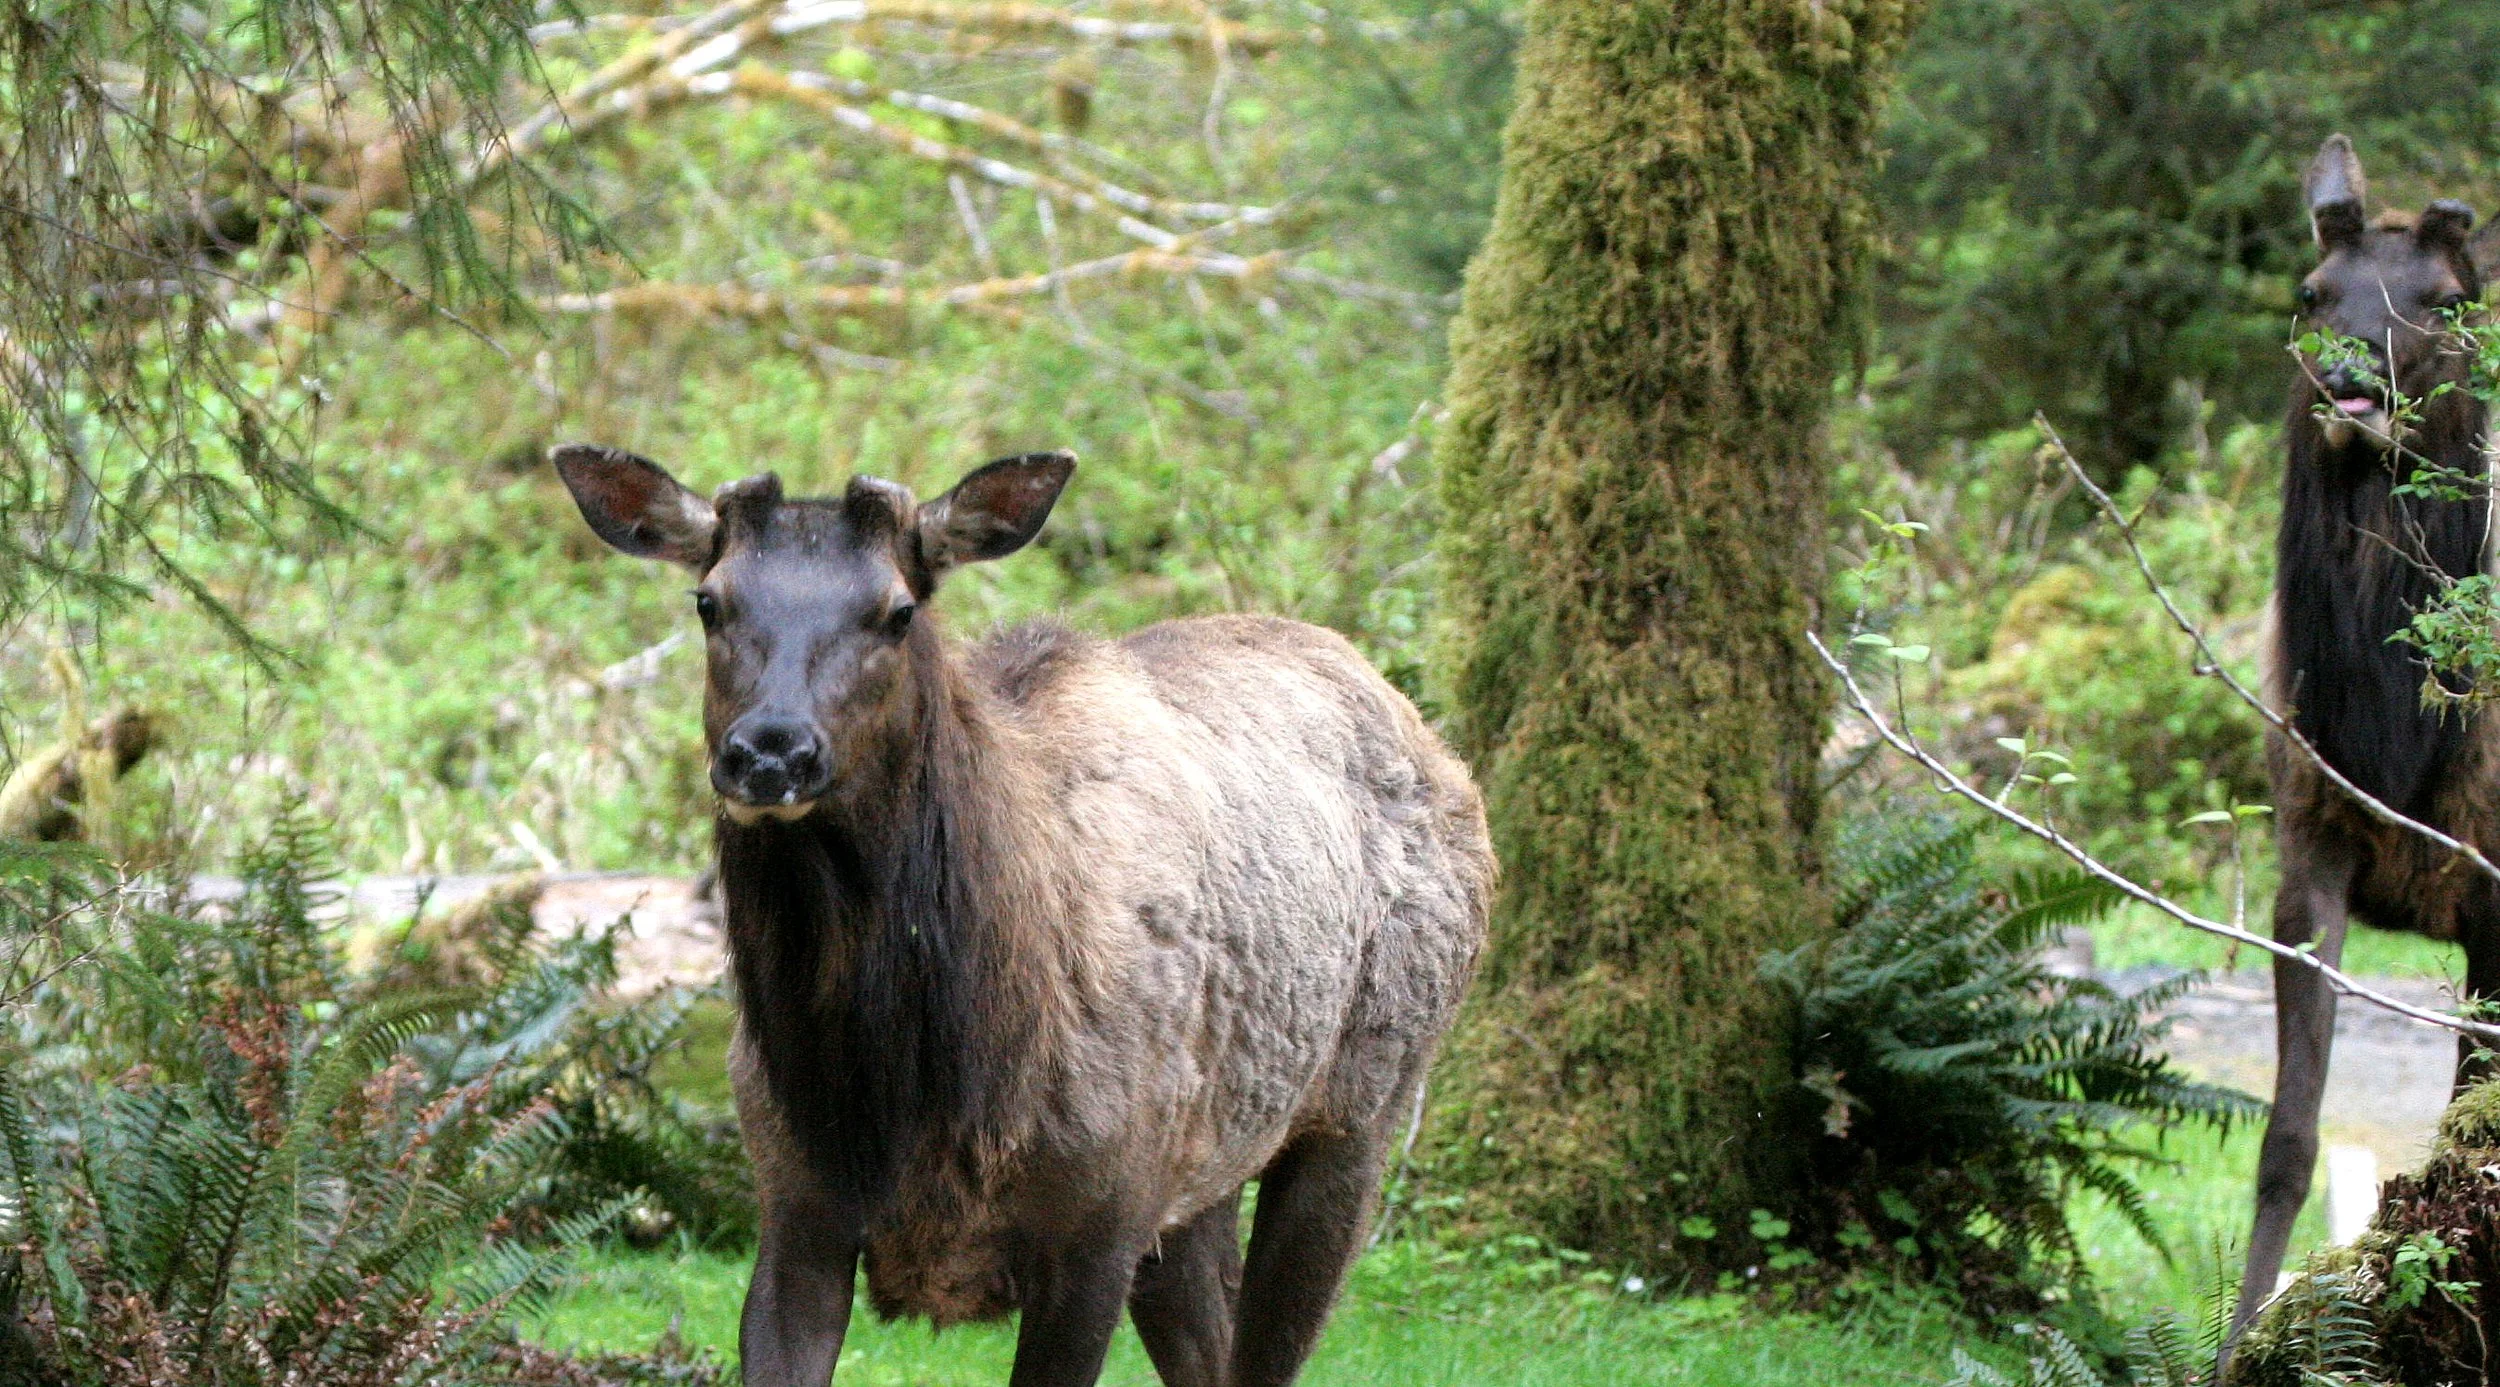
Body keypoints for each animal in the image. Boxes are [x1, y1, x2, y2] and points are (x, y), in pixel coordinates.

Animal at [553, 443, 1493, 1387]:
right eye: (709, 600)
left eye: (898, 610)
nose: (770, 750)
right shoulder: (794, 1206)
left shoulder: (1102, 1220)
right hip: (1204, 1169)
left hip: (1361, 1106)